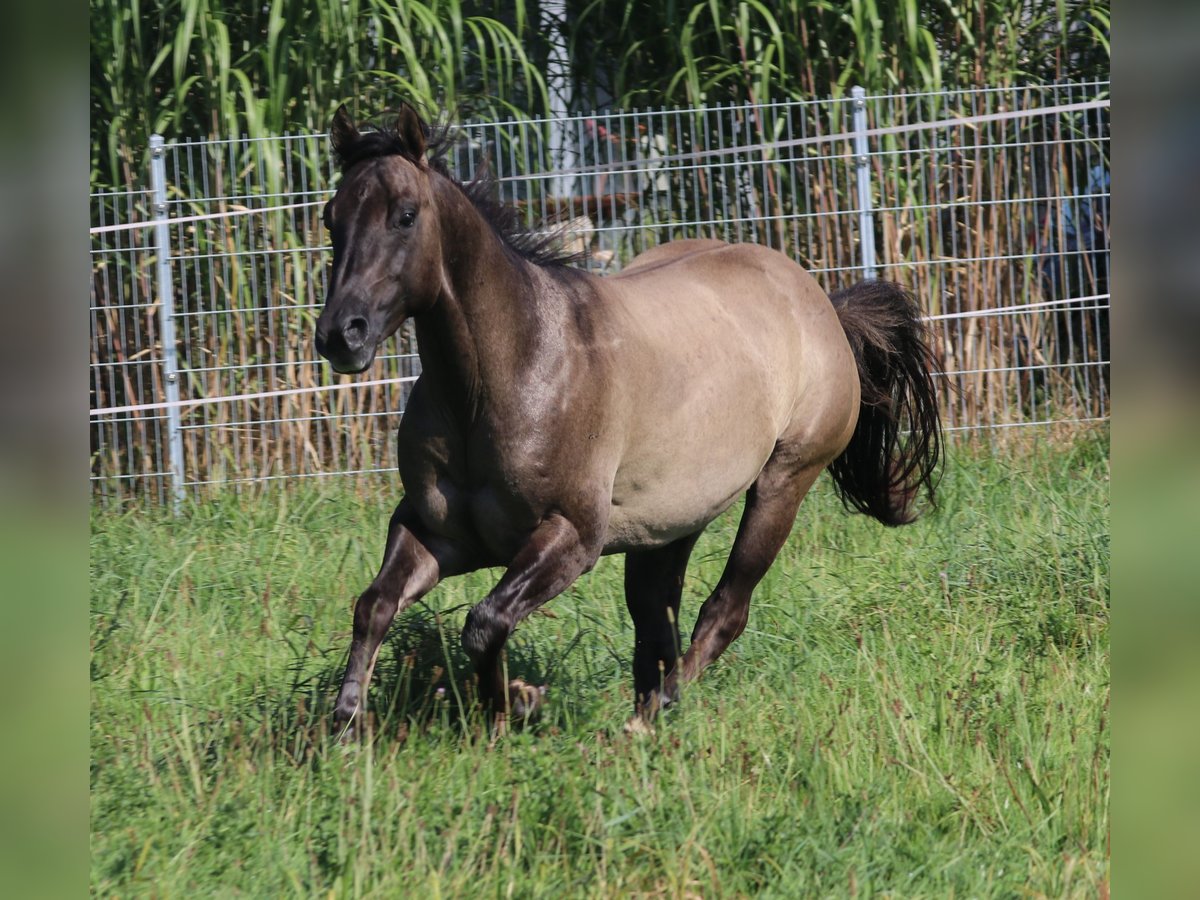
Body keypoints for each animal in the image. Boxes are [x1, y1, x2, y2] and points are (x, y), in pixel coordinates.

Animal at [314, 103, 940, 734]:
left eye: (405, 215)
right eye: (329, 218)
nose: (342, 334)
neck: (505, 374)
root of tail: (823, 306)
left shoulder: (572, 537)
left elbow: (486, 622)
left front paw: (514, 702)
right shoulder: (437, 533)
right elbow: (374, 606)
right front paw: (345, 722)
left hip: (783, 483)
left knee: (723, 611)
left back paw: (650, 716)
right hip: (669, 523)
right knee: (656, 617)